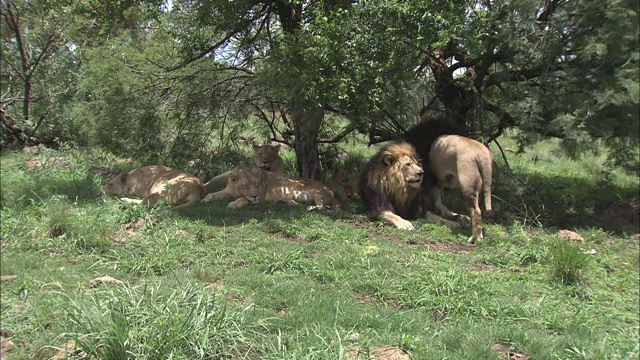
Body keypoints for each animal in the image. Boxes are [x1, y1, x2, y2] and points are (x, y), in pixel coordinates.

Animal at [202, 164, 338, 211]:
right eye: (245, 185)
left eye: (256, 183)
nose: (254, 196)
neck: (238, 190)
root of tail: (331, 191)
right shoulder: (227, 191)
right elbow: (212, 194)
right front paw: (205, 199)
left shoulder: (261, 197)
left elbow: (243, 199)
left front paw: (234, 204)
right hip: (297, 195)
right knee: (294, 202)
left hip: (317, 193)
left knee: (322, 206)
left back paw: (311, 208)